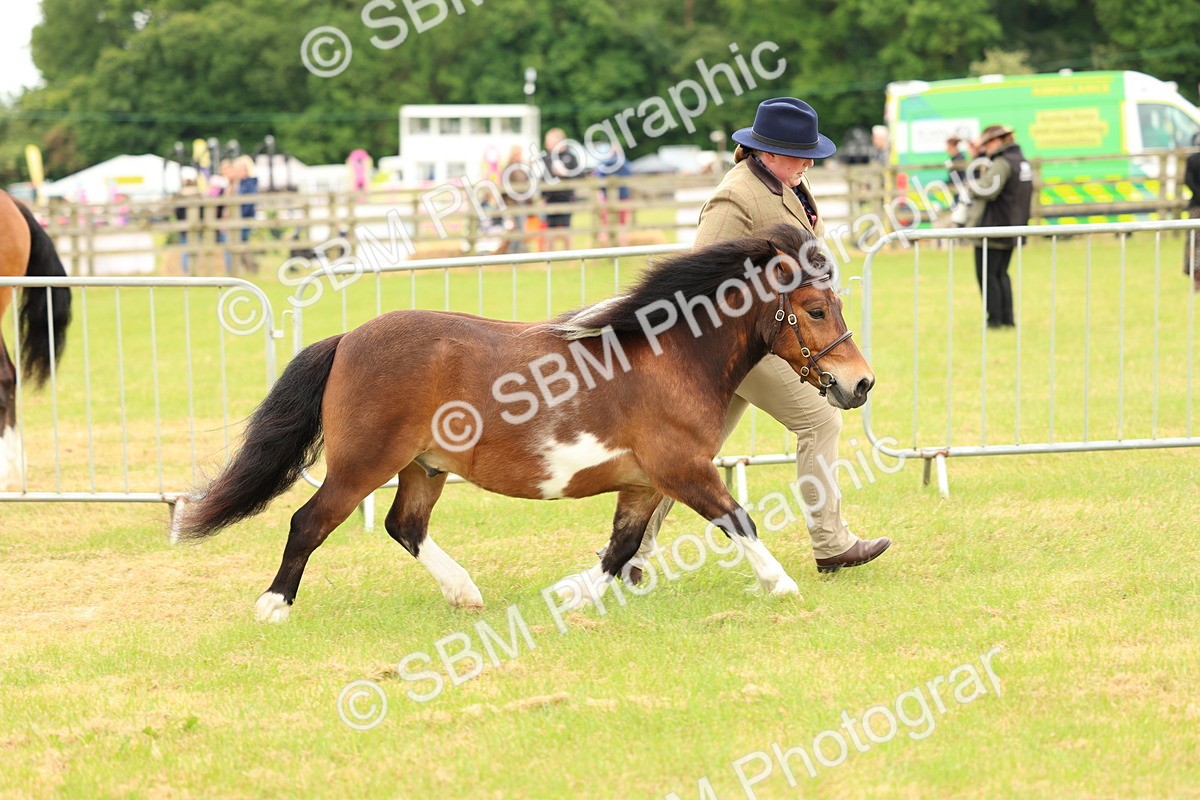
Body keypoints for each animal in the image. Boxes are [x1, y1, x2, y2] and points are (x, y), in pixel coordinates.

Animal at [174, 222, 874, 622]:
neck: (669, 354)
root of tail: (347, 340)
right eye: (815, 309)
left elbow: (621, 549)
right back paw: (273, 606)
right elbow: (738, 520)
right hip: (361, 464)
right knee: (309, 521)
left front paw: (573, 597)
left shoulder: (644, 483)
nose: (860, 383)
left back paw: (464, 593)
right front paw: (783, 586)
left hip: (424, 466)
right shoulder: (682, 469)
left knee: (405, 526)